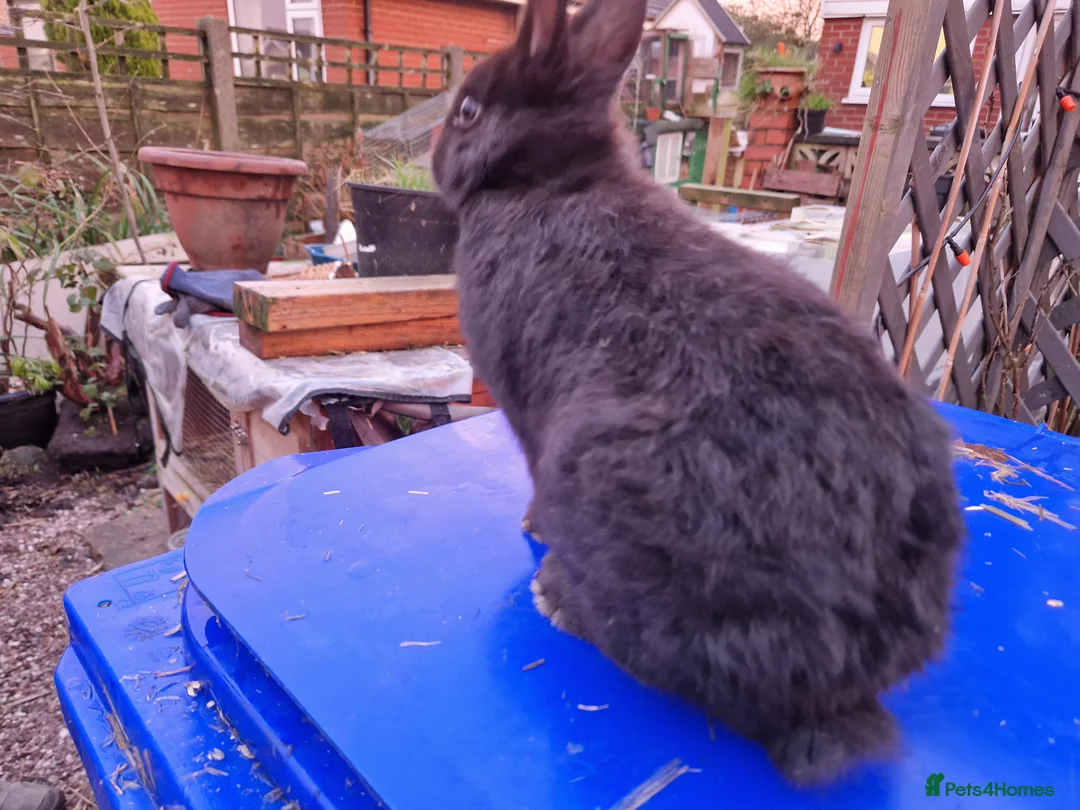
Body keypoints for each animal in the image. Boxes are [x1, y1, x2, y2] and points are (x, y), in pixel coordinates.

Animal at [432, 0, 965, 787]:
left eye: (468, 111)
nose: (436, 154)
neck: (545, 180)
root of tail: (842, 675)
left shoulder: (527, 418)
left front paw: (530, 528)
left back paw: (555, 593)